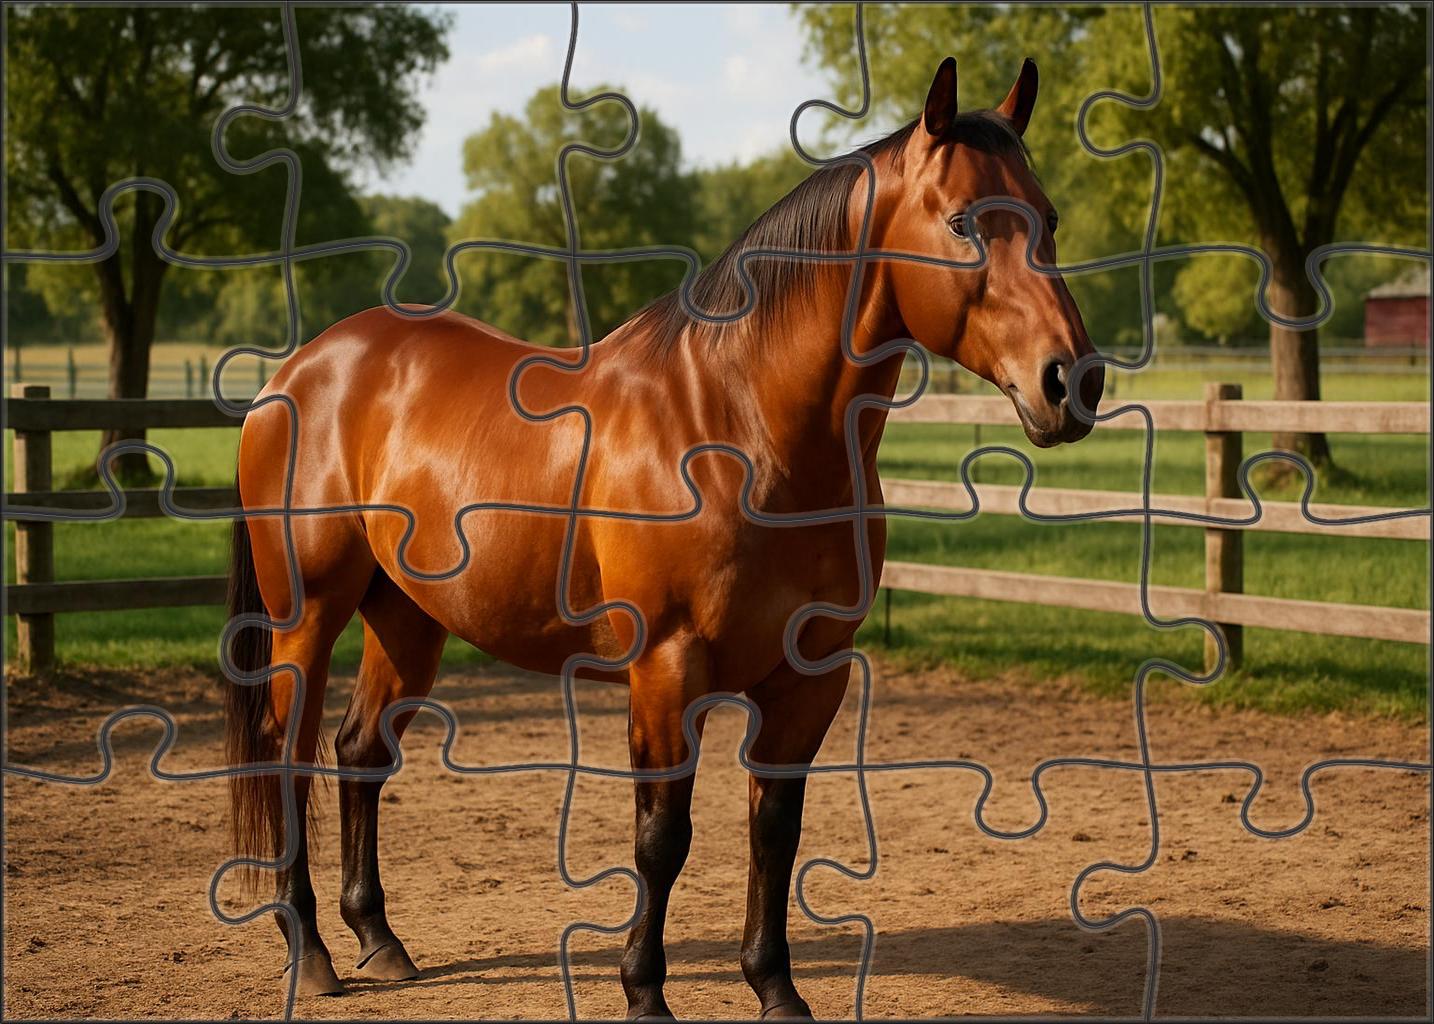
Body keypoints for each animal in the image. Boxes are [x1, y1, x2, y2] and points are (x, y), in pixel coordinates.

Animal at [224, 56, 1103, 1017]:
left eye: (1050, 217)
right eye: (962, 221)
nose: (1071, 382)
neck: (741, 426)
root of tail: (302, 370)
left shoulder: (809, 677)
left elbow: (775, 830)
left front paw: (776, 987)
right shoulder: (667, 671)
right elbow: (662, 838)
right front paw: (645, 990)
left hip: (408, 619)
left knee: (359, 753)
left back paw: (379, 940)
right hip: (309, 614)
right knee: (288, 757)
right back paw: (311, 952)